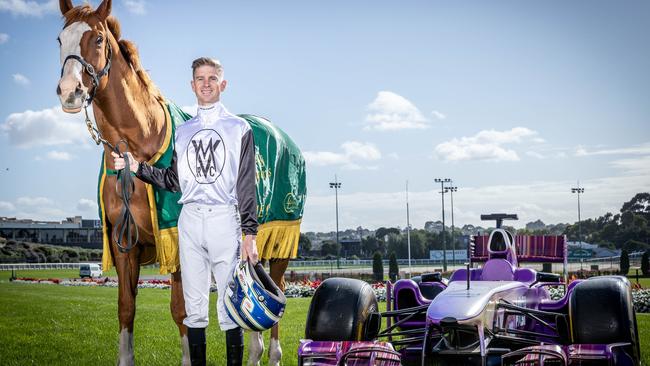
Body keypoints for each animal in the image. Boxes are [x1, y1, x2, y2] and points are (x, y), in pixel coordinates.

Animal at [55, 1, 304, 364]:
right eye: (61, 39)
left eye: (98, 39)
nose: (69, 91)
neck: (142, 139)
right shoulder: (123, 244)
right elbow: (126, 308)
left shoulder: (172, 240)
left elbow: (182, 310)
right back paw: (255, 351)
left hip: (282, 238)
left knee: (277, 289)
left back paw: (271, 353)